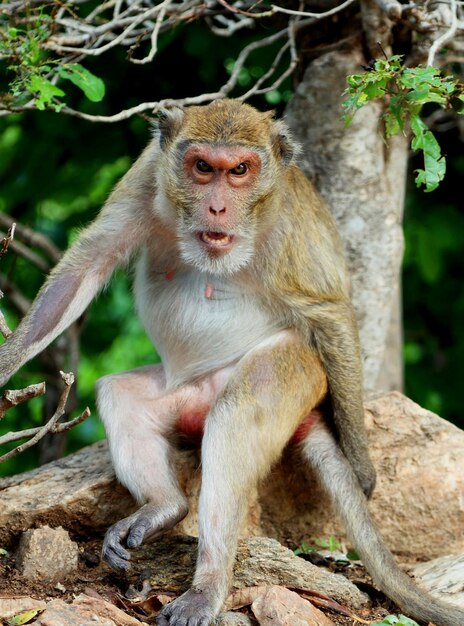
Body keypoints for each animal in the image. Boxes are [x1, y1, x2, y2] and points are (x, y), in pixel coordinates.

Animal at [1, 98, 462, 624]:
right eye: (203, 167)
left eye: (240, 171)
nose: (218, 206)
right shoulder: (147, 173)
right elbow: (86, 265)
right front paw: (6, 362)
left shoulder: (288, 222)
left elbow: (332, 312)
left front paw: (361, 467)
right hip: (185, 397)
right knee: (123, 395)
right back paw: (164, 507)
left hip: (301, 372)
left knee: (237, 412)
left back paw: (208, 585)